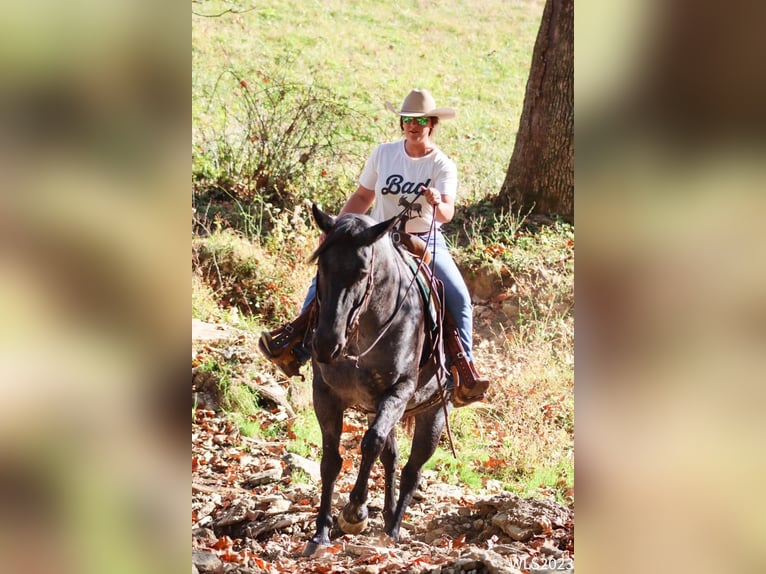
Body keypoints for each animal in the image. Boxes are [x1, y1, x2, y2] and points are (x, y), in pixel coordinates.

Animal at [304, 204, 452, 560]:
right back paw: (386, 517)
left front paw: (355, 511)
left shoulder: (399, 391)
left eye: (361, 272)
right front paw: (321, 532)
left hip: (432, 413)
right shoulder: (325, 394)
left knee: (412, 470)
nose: (326, 345)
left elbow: (370, 442)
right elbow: (331, 460)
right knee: (392, 457)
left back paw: (393, 529)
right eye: (322, 265)